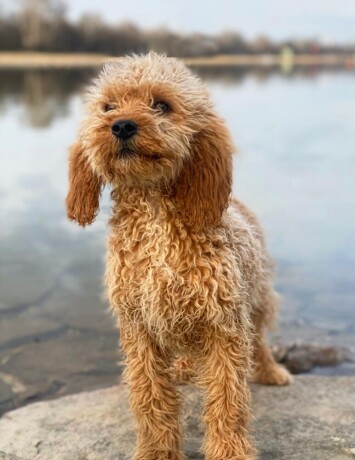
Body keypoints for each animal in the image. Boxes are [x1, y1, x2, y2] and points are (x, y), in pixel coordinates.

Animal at [64, 53, 292, 460]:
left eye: (161, 105)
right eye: (108, 107)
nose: (121, 125)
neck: (155, 213)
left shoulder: (223, 324)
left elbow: (227, 398)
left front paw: (230, 450)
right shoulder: (139, 327)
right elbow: (151, 398)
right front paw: (157, 451)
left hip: (259, 297)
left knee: (261, 342)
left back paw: (271, 372)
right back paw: (185, 367)